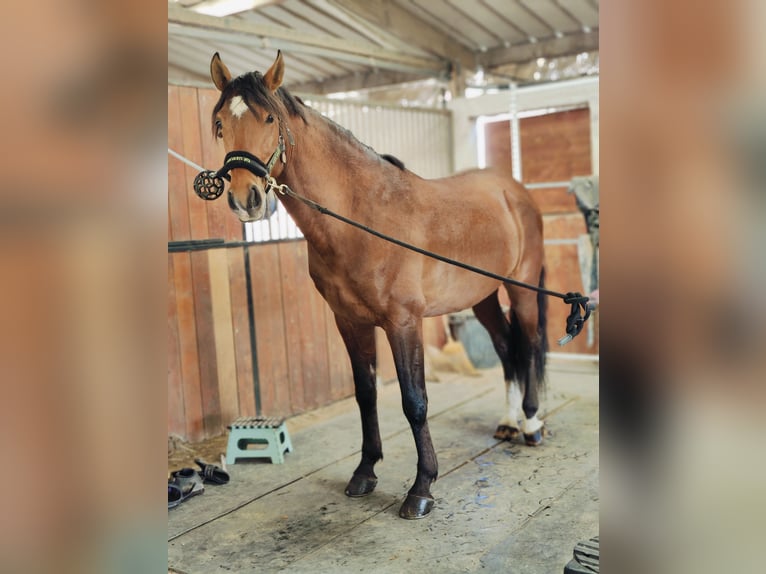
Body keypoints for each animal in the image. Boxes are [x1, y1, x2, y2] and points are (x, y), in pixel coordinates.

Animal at [207, 53, 548, 520]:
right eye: (220, 122)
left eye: (269, 118)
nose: (247, 199)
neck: (363, 217)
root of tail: (513, 191)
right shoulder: (350, 322)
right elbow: (365, 395)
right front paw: (365, 472)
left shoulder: (404, 322)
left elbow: (414, 401)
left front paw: (421, 489)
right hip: (482, 297)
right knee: (505, 347)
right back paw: (509, 422)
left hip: (522, 287)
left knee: (528, 343)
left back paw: (532, 424)